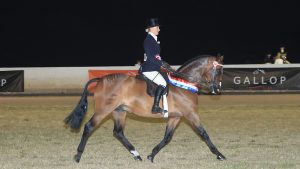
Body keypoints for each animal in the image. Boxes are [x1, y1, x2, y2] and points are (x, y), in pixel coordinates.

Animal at [64, 54, 226, 163]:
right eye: (218, 71)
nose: (217, 90)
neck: (184, 83)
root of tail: (101, 79)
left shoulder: (176, 117)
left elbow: (167, 137)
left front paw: (151, 155)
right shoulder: (191, 114)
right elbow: (204, 134)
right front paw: (219, 154)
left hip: (119, 111)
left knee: (118, 133)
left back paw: (137, 155)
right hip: (104, 110)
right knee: (89, 126)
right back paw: (78, 156)